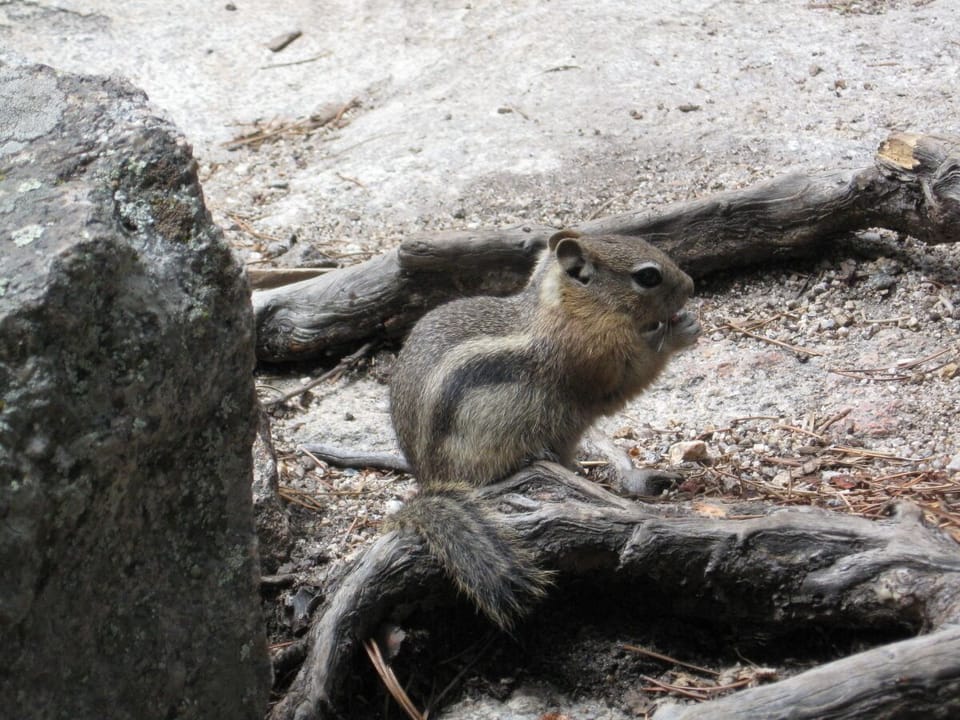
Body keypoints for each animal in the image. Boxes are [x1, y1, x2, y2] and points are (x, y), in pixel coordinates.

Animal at [386, 229, 700, 630]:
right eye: (648, 277)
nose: (691, 285)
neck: (570, 308)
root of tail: (428, 480)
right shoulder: (593, 360)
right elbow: (631, 373)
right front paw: (681, 331)